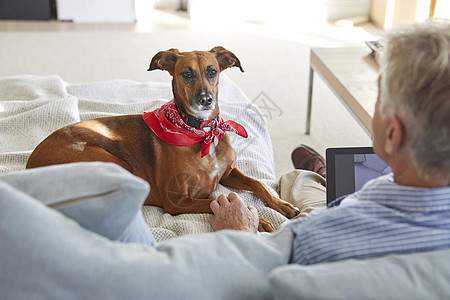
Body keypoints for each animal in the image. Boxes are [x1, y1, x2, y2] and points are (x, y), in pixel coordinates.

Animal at [25, 45, 298, 231]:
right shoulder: (177, 200)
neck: (201, 133)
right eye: (186, 73)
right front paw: (256, 220)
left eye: (212, 71)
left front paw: (282, 205)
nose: (206, 100)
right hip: (114, 163)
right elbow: (215, 199)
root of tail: (29, 166)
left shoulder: (228, 173)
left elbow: (257, 183)